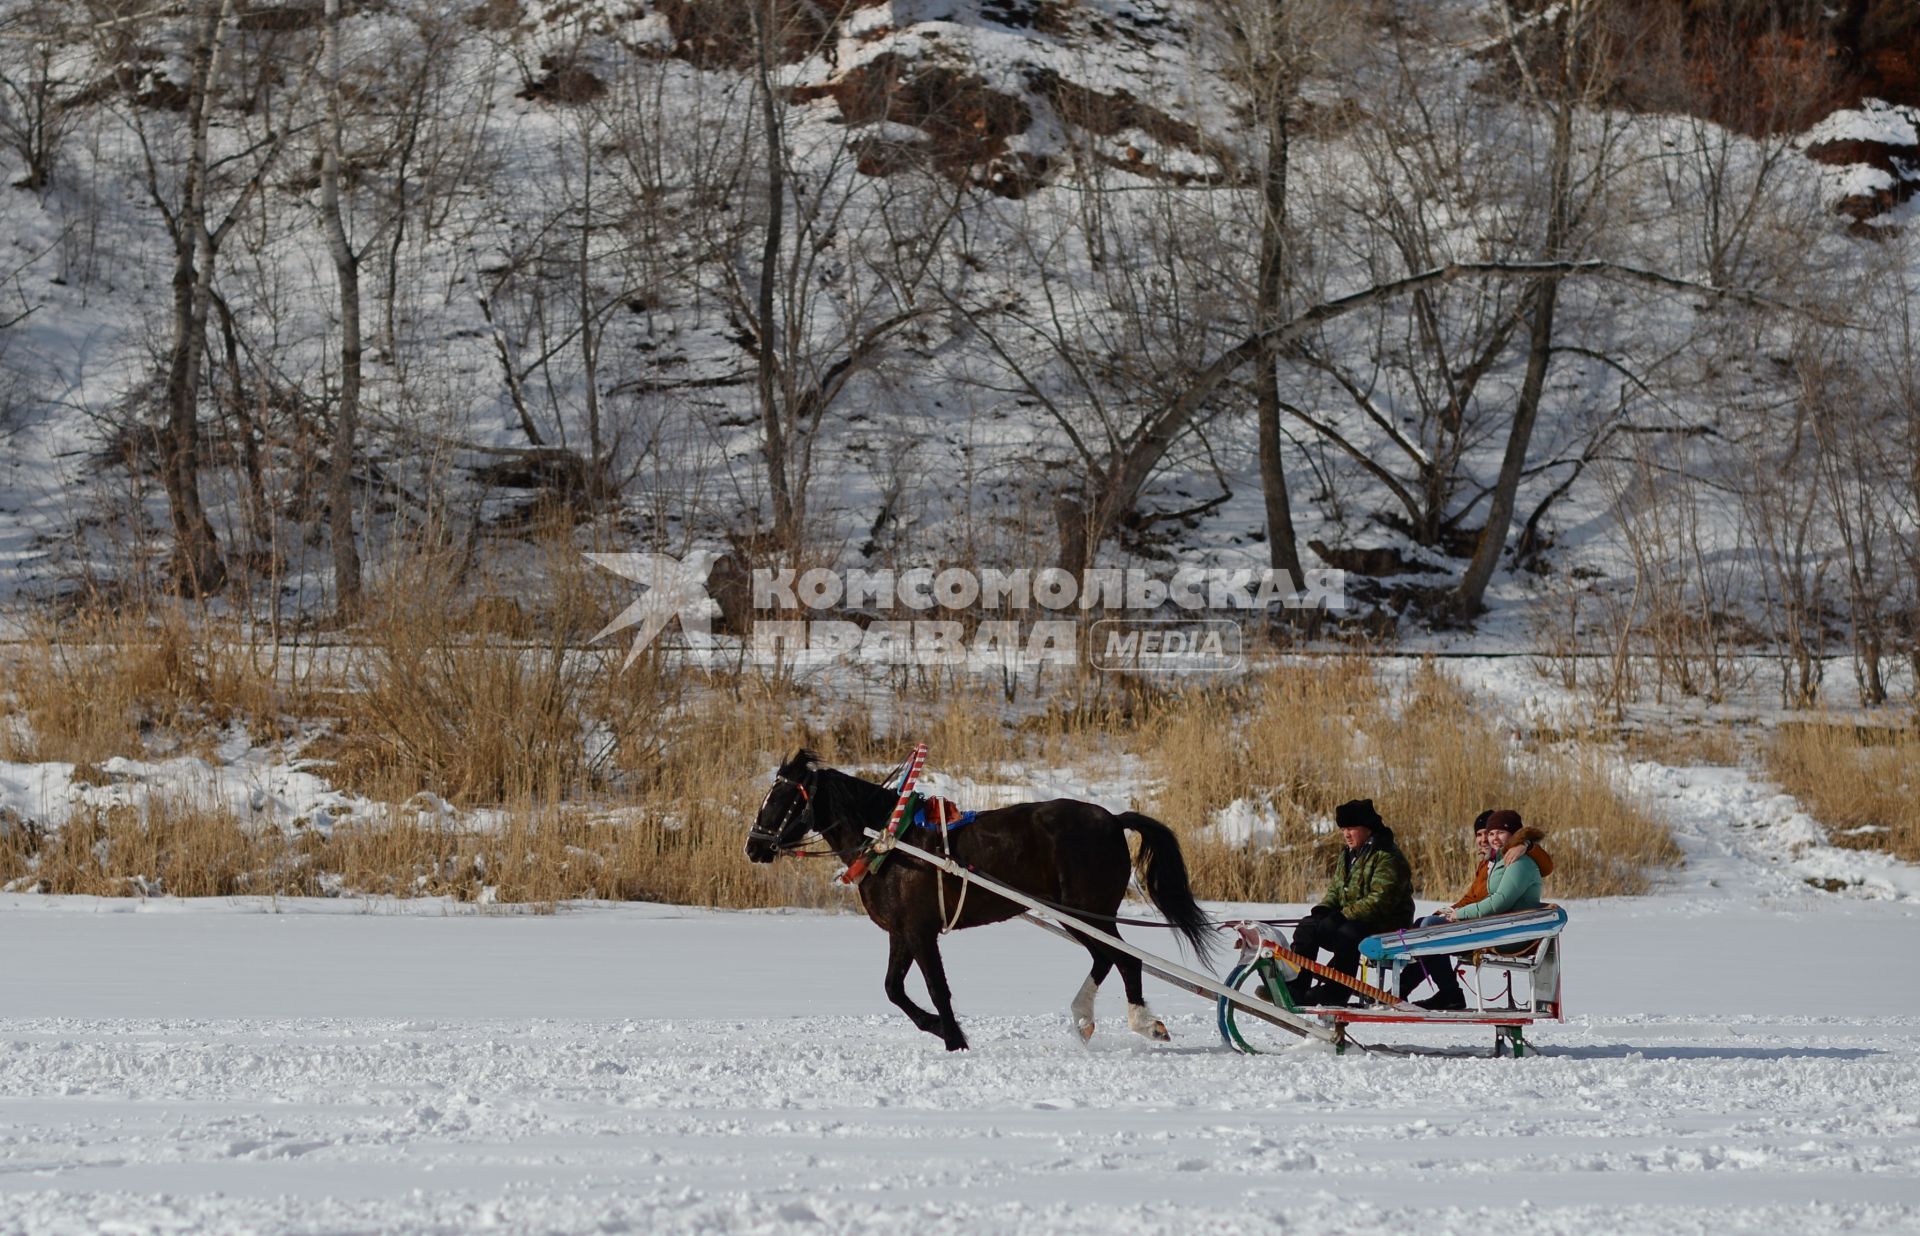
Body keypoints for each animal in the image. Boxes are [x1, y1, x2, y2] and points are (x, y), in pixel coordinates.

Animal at [744, 748, 1213, 1044]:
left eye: (781, 799)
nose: (753, 846)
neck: (890, 840)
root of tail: (1113, 819)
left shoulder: (921, 930)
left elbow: (937, 989)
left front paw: (954, 1037)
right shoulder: (901, 932)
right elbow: (894, 989)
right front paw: (938, 1028)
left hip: (1089, 912)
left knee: (1125, 959)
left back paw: (1143, 1022)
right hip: (1076, 914)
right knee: (1106, 958)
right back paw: (1084, 1019)